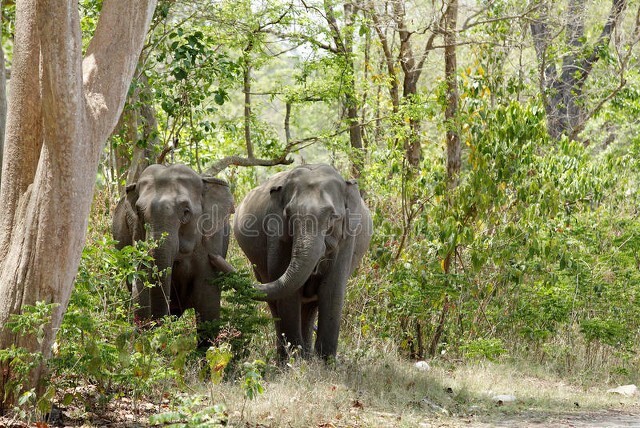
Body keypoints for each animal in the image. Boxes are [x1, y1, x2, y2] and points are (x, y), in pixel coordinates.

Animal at [234, 164, 376, 362]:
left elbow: (331, 290)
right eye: (289, 214)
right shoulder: (276, 234)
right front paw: (294, 359)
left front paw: (325, 363)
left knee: (310, 306)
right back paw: (287, 358)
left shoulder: (347, 239)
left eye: (333, 216)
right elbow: (288, 293)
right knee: (274, 301)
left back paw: (308, 357)